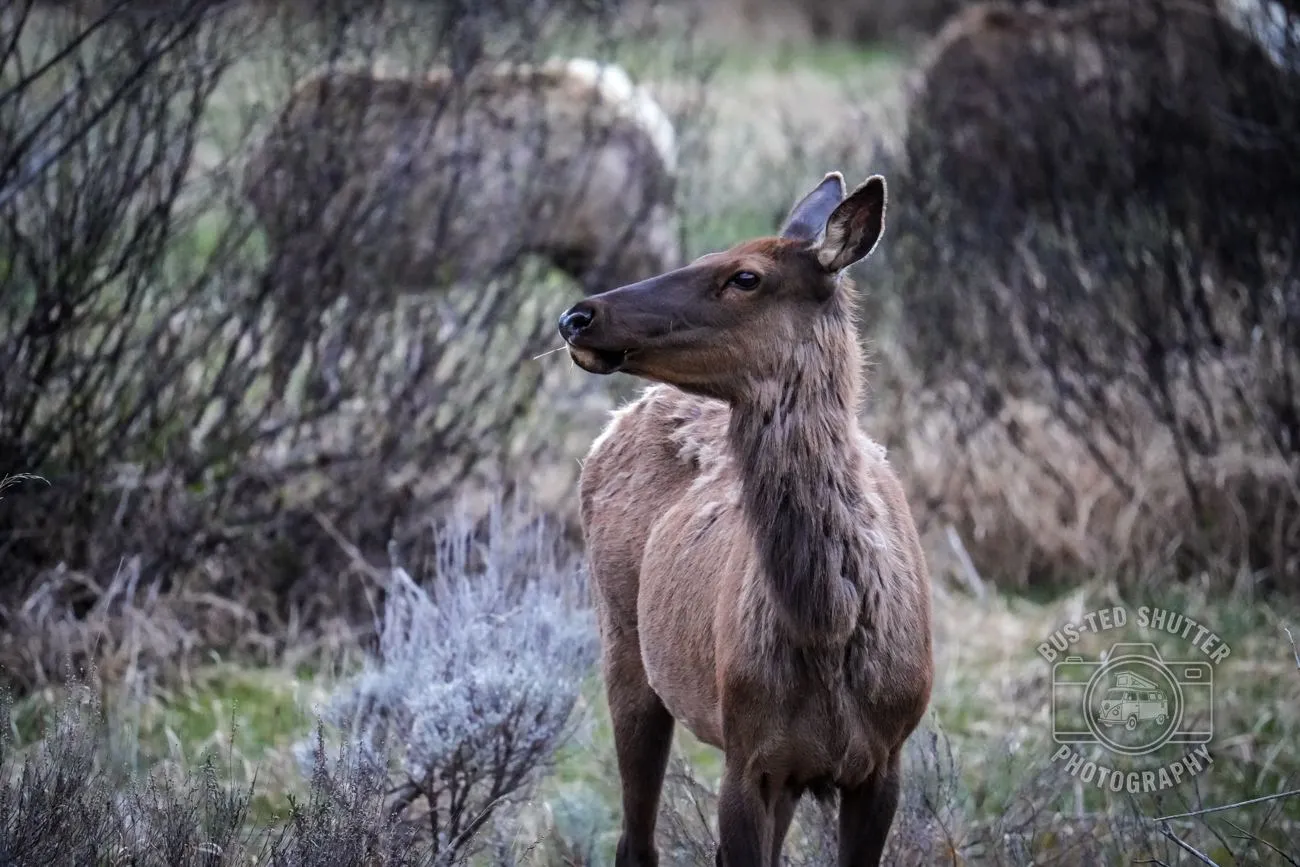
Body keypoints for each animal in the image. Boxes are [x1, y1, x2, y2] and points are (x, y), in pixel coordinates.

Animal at [556, 171, 934, 866]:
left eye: (746, 276)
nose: (577, 315)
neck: (829, 627)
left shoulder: (883, 759)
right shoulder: (746, 753)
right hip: (622, 639)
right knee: (634, 841)